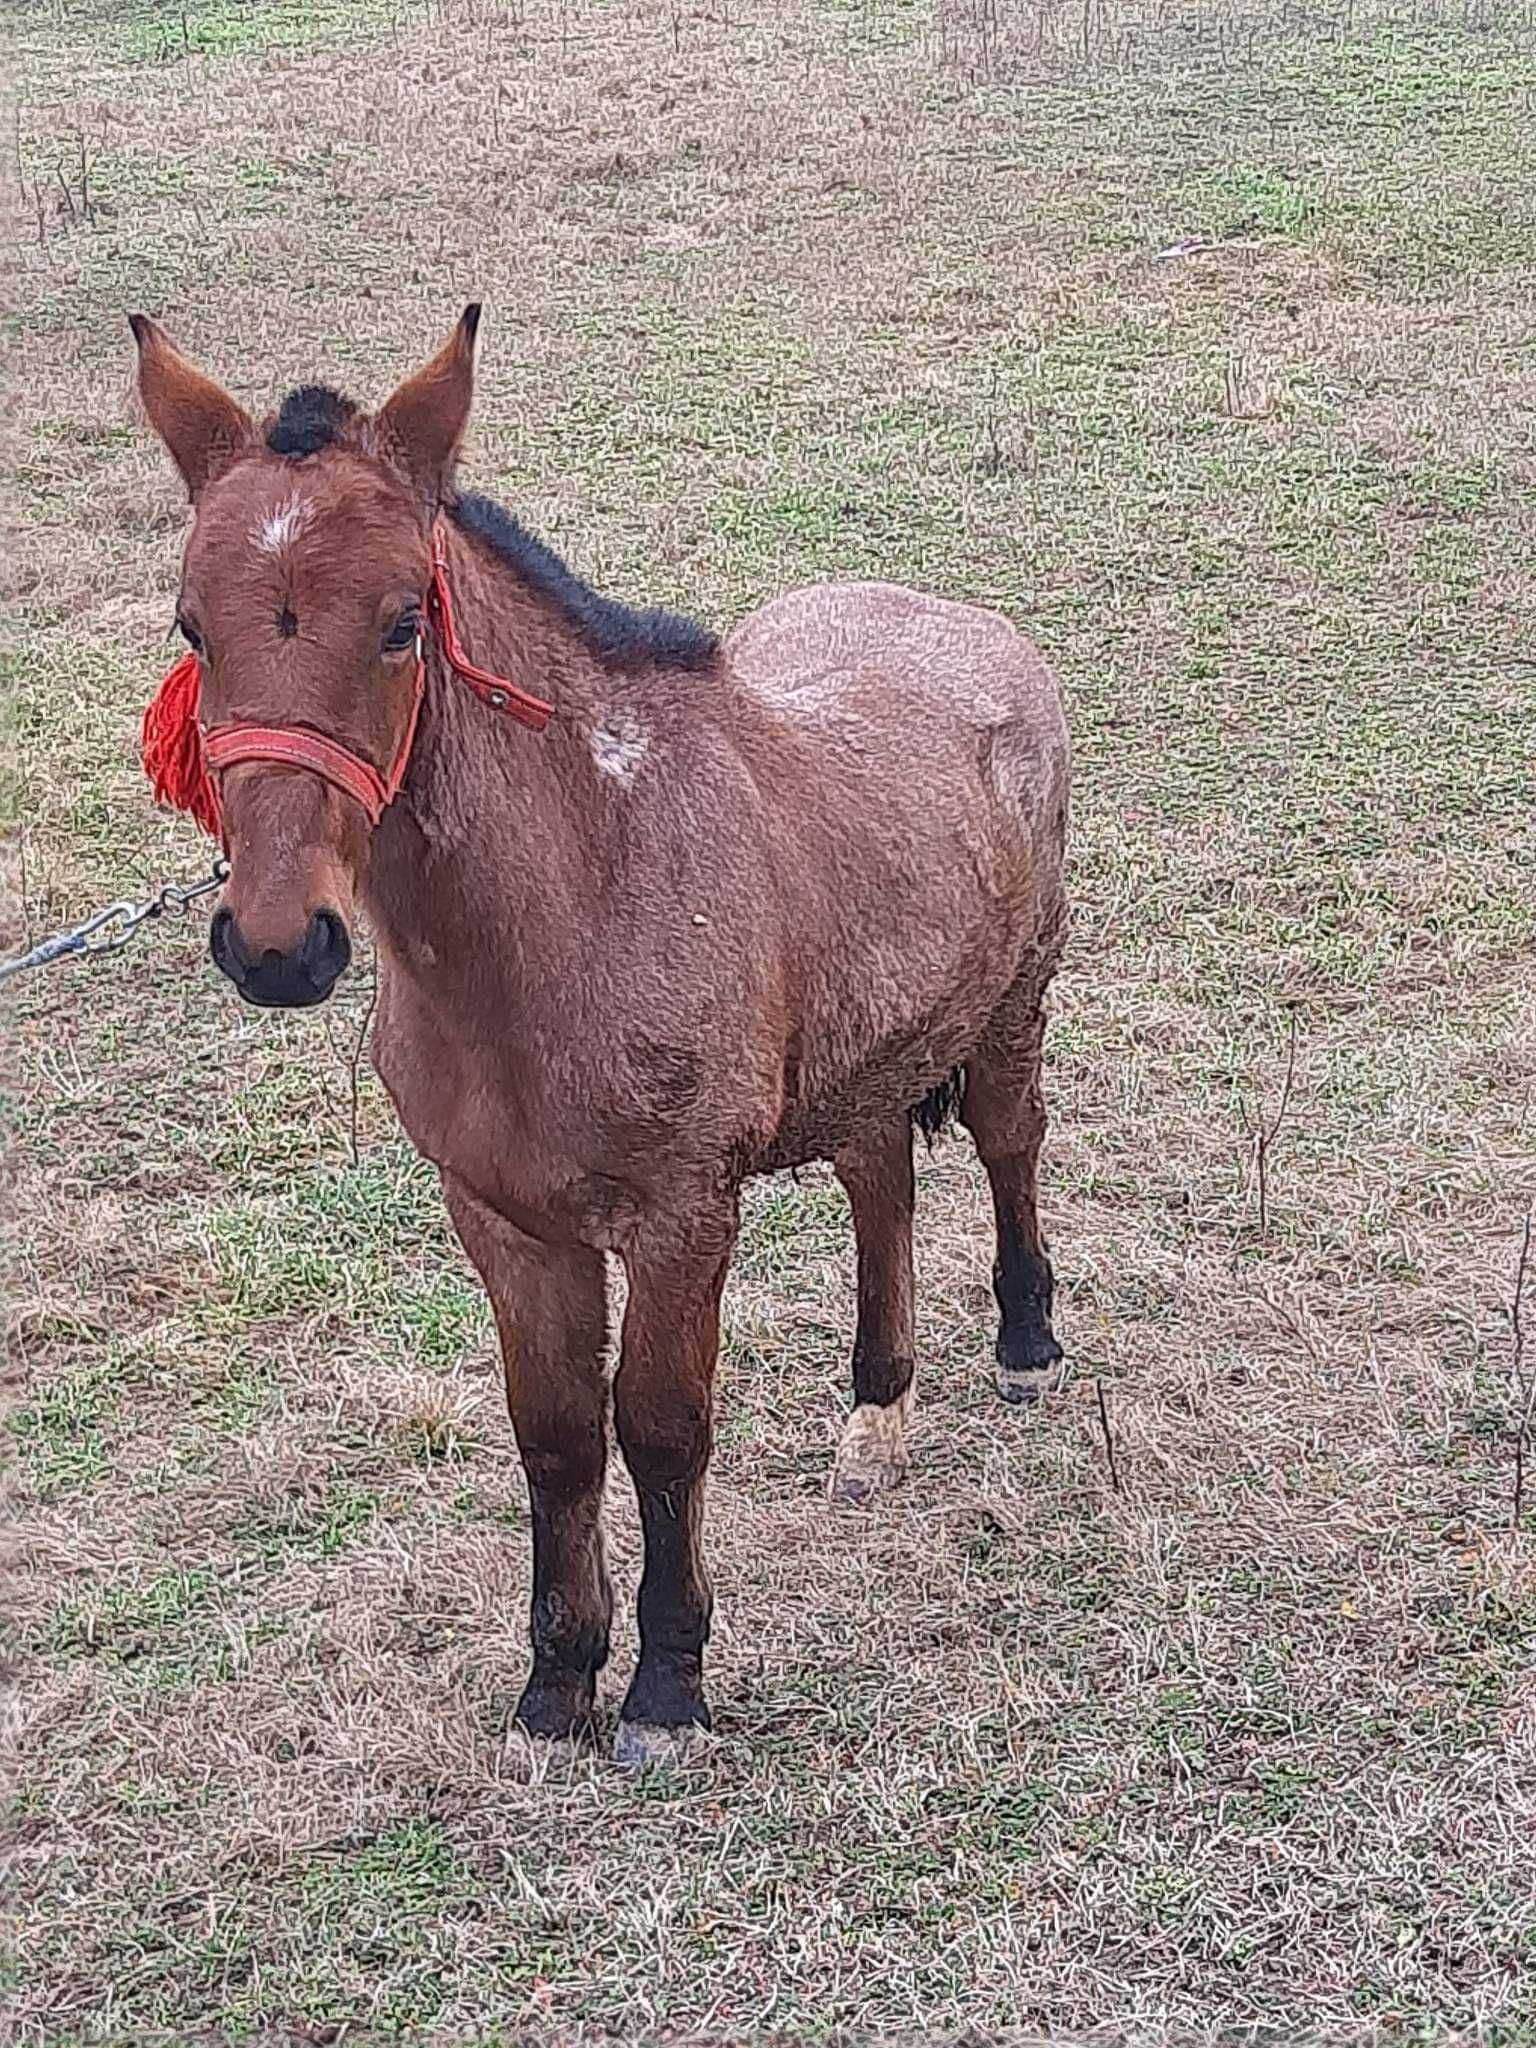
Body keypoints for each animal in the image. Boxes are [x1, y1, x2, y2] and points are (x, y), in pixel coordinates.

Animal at [129, 303, 1073, 1761]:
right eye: (191, 622)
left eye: (403, 623)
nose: (279, 945)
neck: (586, 891)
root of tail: (970, 626)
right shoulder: (505, 1219)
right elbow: (559, 1433)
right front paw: (558, 1679)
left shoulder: (681, 1216)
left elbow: (664, 1428)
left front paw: (668, 1683)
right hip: (864, 1055)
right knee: (883, 1185)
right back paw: (877, 1413)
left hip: (1016, 1000)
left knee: (1008, 1141)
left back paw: (1026, 1346)